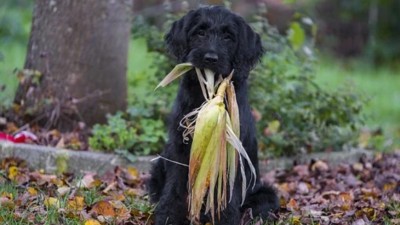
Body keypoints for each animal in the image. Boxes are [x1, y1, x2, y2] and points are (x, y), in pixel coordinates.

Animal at [149, 5, 278, 225]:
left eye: (228, 37)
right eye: (200, 32)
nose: (210, 58)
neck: (208, 96)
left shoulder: (231, 153)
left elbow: (227, 193)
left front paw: (226, 219)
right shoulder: (179, 149)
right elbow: (174, 188)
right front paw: (167, 217)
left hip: (265, 192)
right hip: (158, 167)